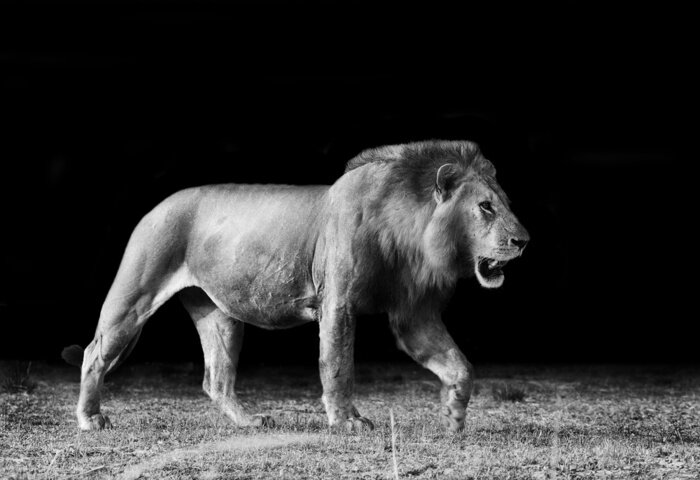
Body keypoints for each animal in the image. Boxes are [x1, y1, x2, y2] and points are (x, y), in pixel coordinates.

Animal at [63, 140, 529, 432]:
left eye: (505, 203)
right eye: (485, 207)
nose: (524, 241)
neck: (412, 232)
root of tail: (156, 206)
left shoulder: (414, 315)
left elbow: (461, 366)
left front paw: (453, 416)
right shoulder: (337, 301)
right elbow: (338, 364)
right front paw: (347, 421)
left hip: (221, 316)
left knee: (216, 380)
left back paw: (250, 421)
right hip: (134, 295)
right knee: (93, 354)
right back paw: (90, 419)